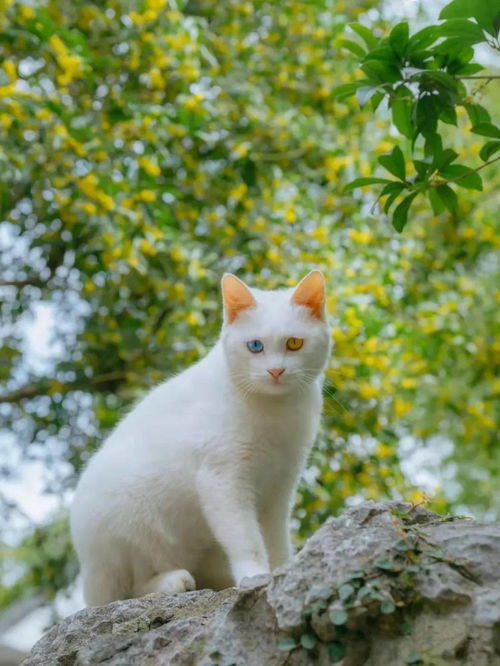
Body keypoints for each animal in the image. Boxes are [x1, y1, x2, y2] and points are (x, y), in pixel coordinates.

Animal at [69, 268, 328, 600]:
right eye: (255, 346)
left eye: (294, 343)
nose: (275, 371)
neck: (276, 411)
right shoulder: (222, 481)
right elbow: (246, 539)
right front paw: (255, 575)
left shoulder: (280, 487)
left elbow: (276, 540)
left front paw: (285, 572)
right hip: (132, 522)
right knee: (134, 587)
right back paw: (172, 581)